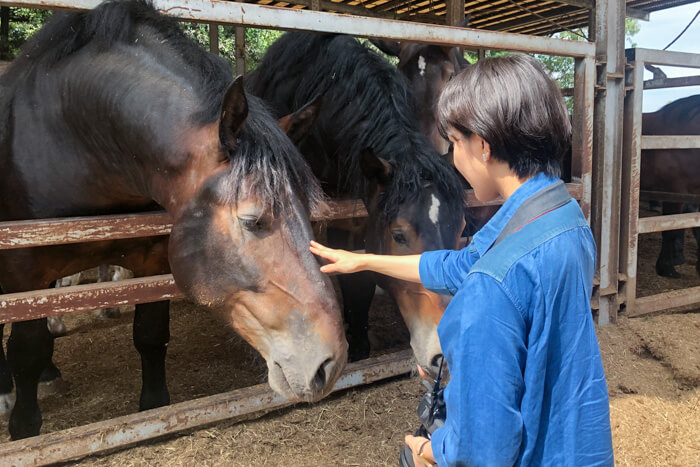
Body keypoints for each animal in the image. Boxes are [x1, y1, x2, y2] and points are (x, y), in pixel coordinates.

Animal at [0, 0, 348, 440]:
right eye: (252, 220)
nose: (330, 364)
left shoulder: (152, 259)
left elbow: (151, 336)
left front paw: (154, 408)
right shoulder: (21, 270)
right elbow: (26, 349)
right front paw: (24, 427)